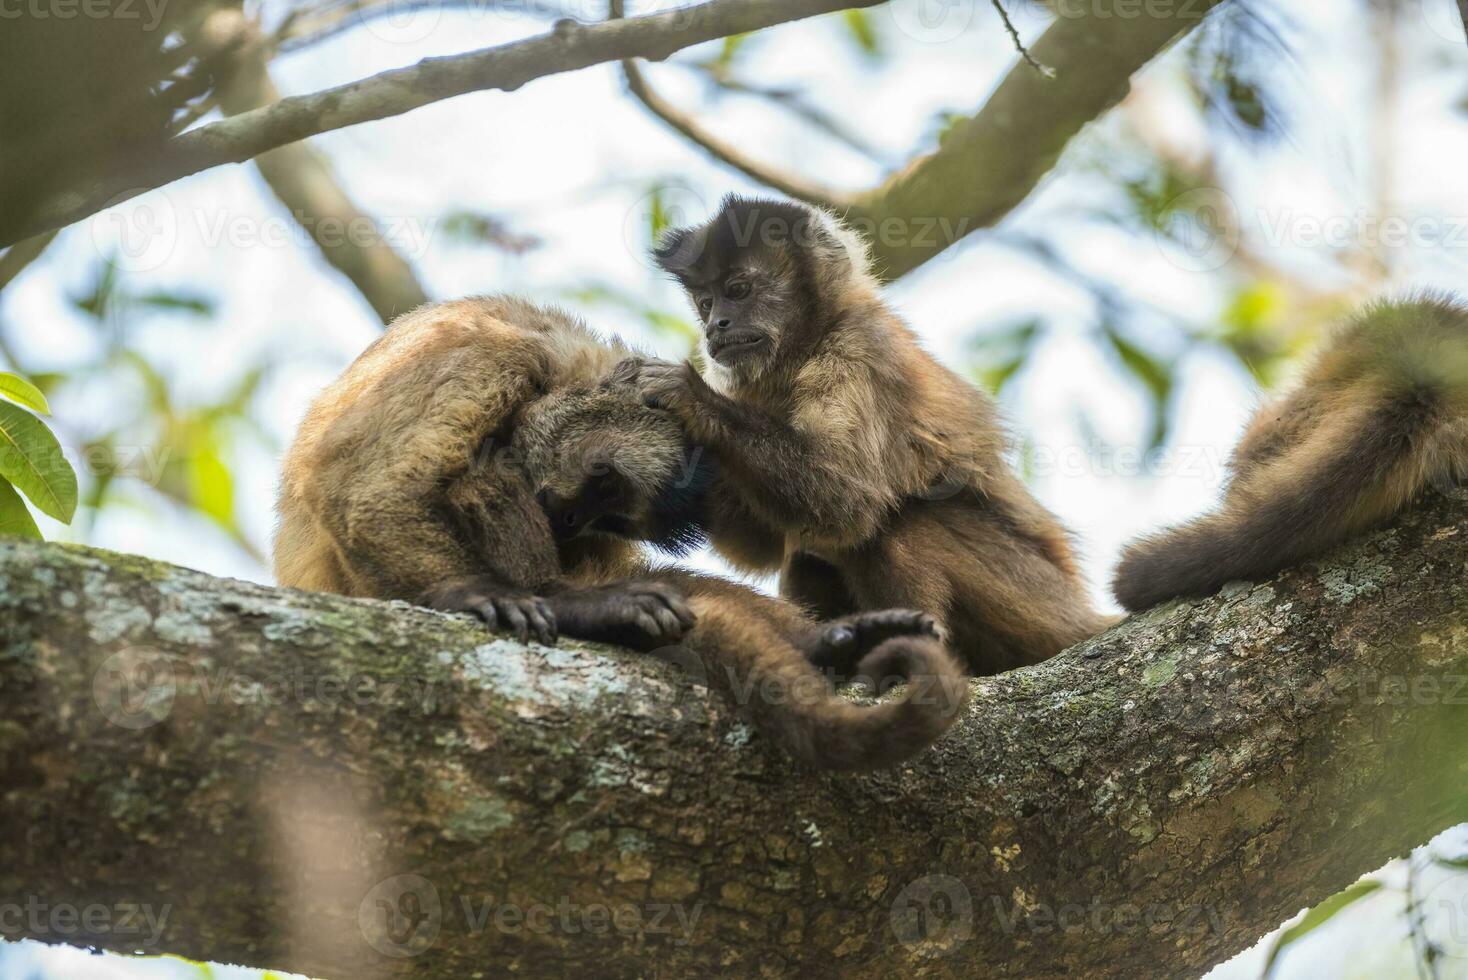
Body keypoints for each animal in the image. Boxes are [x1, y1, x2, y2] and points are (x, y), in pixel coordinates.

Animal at [275, 294, 968, 768]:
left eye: (611, 512)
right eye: (605, 483)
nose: (569, 520)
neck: (556, 365)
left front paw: (827, 640)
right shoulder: (483, 353)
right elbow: (364, 490)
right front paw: (474, 594)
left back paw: (828, 644)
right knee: (483, 469)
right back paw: (580, 609)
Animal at [619, 193, 1109, 674]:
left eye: (737, 291)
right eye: (705, 302)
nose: (714, 325)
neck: (805, 348)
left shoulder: (861, 350)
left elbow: (847, 500)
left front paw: (689, 396)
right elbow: (763, 544)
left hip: (1040, 605)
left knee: (899, 524)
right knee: (809, 556)